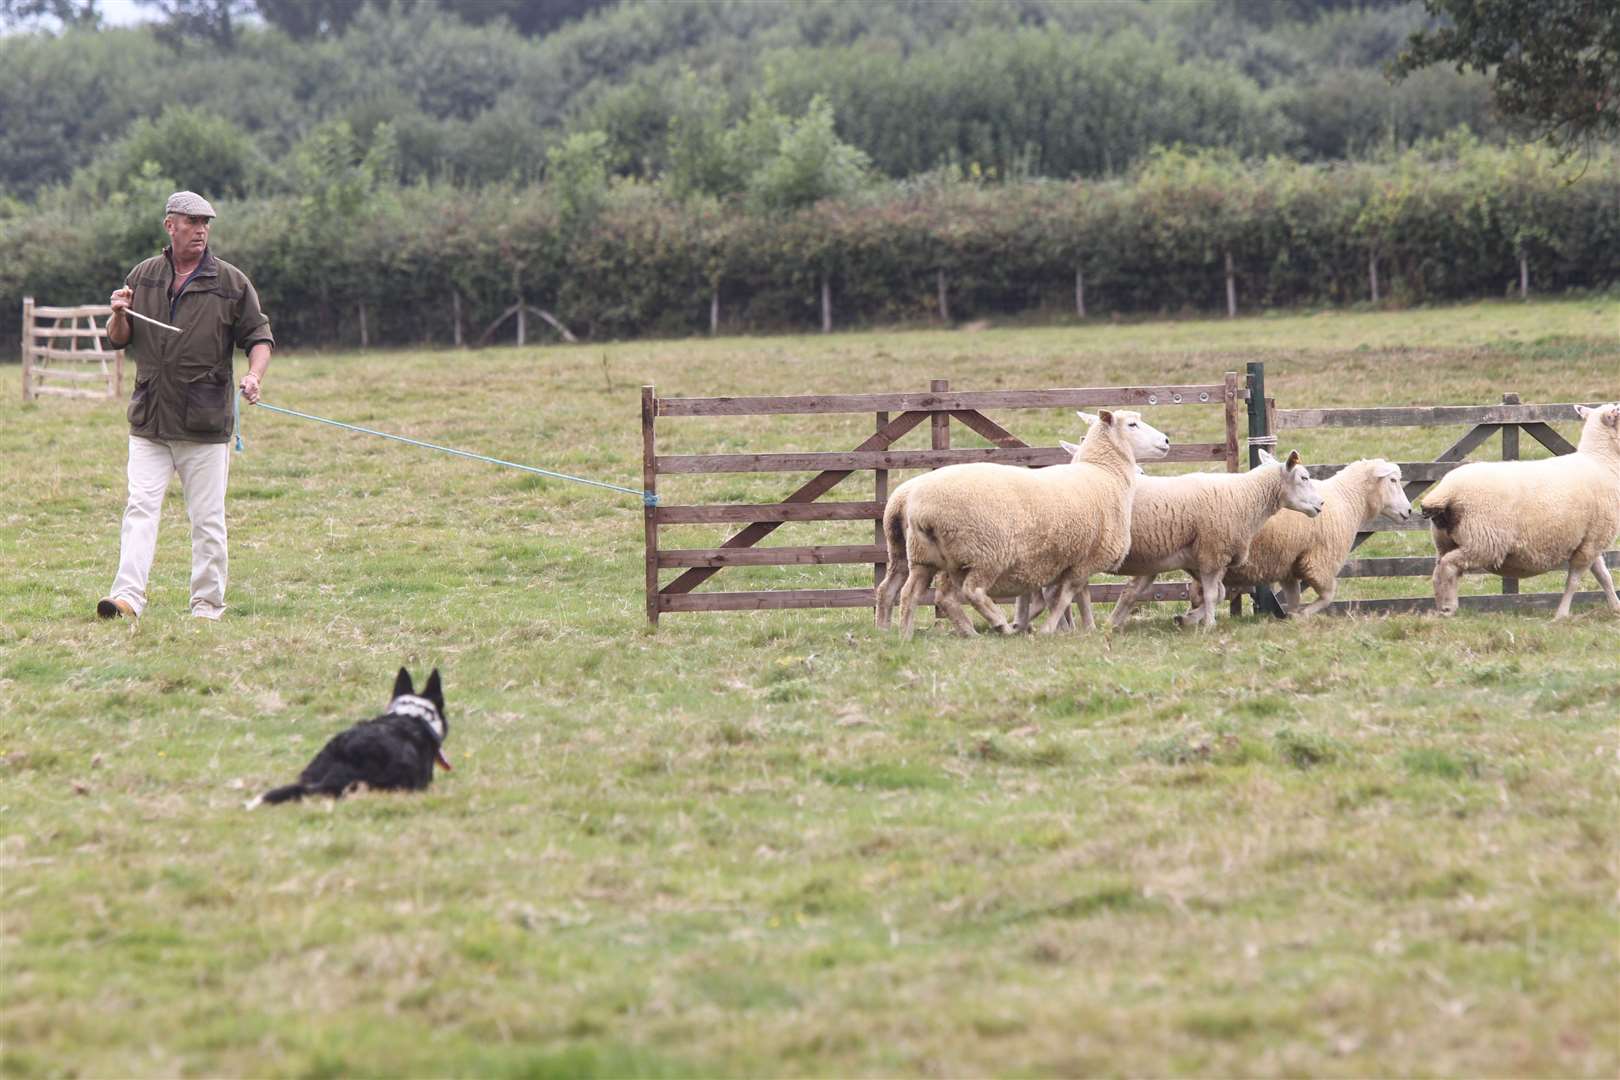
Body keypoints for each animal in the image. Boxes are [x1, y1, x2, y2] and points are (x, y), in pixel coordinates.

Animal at [881, 409, 1172, 637]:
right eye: (1132, 424)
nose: (1167, 441)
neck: (1104, 472)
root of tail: (916, 504)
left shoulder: (1060, 559)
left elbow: (1075, 596)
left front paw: (1078, 627)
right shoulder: (1084, 559)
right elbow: (1066, 597)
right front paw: (1050, 628)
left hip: (925, 557)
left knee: (908, 593)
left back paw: (903, 634)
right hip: (983, 553)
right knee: (969, 592)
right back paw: (998, 624)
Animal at [1114, 450, 1328, 634]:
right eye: (1304, 478)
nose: (1321, 503)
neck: (1247, 496)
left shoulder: (1208, 557)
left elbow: (1220, 593)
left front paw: (1189, 619)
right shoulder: (1212, 552)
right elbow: (1211, 595)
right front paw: (1209, 626)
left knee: (1130, 591)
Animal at [1205, 459, 1419, 615]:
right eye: (1393, 480)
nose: (1409, 510)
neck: (1347, 498)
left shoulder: (1287, 564)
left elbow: (1294, 598)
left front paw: (1292, 617)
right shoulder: (1319, 561)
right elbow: (1328, 596)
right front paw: (1304, 615)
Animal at [1425, 399, 1613, 615]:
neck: (1601, 461)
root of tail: (1445, 492)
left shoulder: (1590, 538)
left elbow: (1604, 576)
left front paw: (1615, 607)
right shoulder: (1593, 540)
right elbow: (1574, 580)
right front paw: (1562, 614)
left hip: (1445, 542)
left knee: (1439, 569)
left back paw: (1443, 605)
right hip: (1481, 542)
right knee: (1448, 566)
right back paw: (1448, 607)